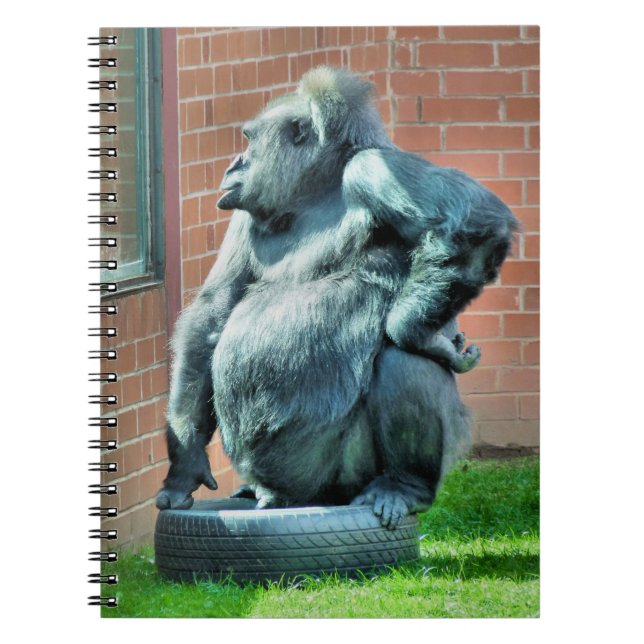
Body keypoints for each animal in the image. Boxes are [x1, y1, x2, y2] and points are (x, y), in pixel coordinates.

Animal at [155, 67, 518, 529]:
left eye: (249, 140)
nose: (234, 164)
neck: (315, 191)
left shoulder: (375, 169)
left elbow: (475, 224)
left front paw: (419, 334)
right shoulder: (245, 212)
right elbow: (213, 313)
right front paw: (184, 460)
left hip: (341, 480)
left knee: (401, 361)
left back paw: (404, 485)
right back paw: (255, 489)